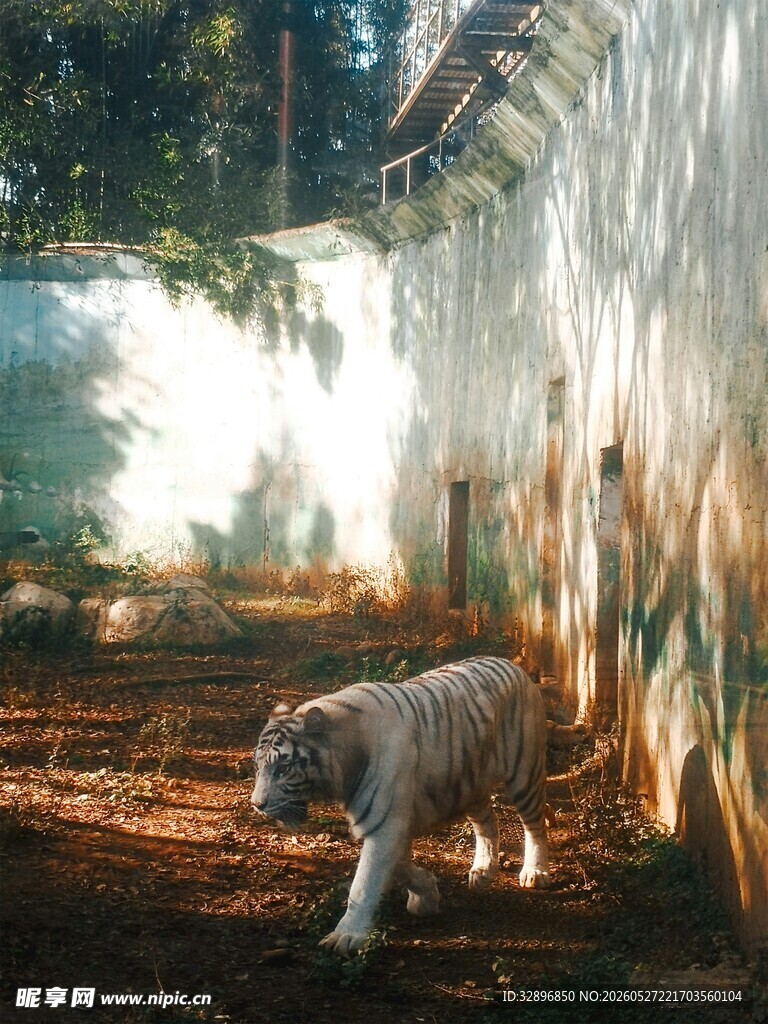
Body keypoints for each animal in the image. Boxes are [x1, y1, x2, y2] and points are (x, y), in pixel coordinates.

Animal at [251, 656, 550, 956]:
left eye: (283, 768)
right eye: (258, 766)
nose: (257, 804)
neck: (345, 763)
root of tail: (511, 664)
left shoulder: (385, 823)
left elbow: (364, 884)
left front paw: (346, 937)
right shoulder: (391, 822)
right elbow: (400, 866)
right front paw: (426, 897)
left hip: (525, 773)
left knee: (536, 824)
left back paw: (535, 872)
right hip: (471, 783)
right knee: (488, 822)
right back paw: (483, 871)